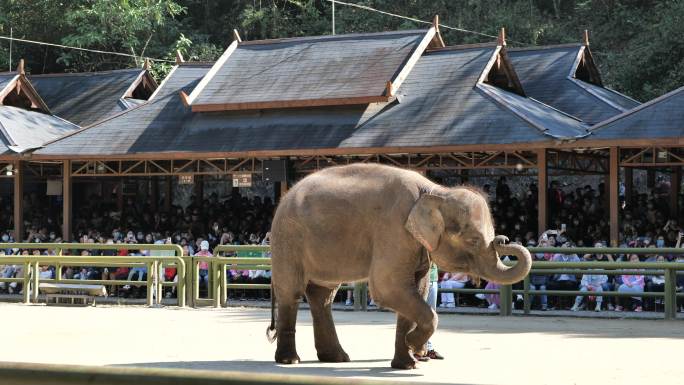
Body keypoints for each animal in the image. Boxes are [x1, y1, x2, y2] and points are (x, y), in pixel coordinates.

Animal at [264, 161, 532, 366]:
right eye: (473, 240)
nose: (504, 239)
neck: (435, 191)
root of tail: (284, 197)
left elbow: (417, 290)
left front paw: (407, 363)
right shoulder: (394, 230)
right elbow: (388, 287)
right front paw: (415, 347)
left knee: (323, 296)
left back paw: (337, 358)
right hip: (288, 239)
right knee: (292, 292)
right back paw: (290, 361)